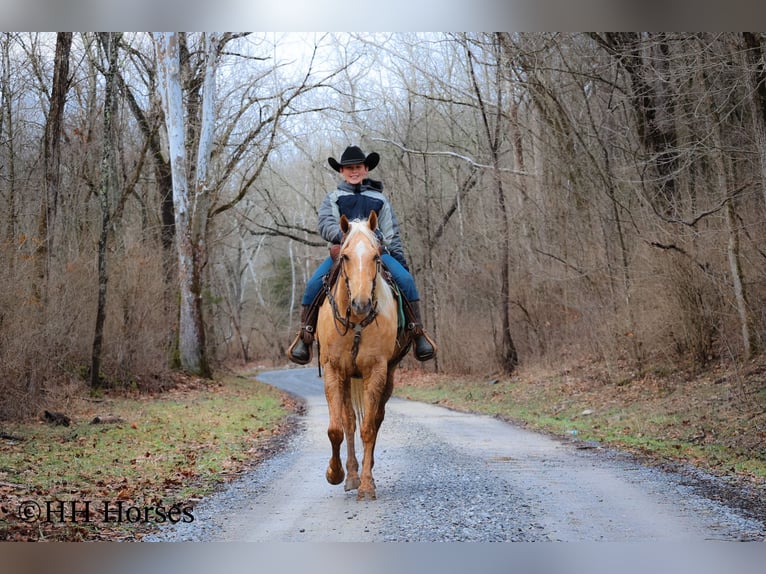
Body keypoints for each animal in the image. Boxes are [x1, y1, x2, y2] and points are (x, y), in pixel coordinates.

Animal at [315, 211, 411, 500]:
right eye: (345, 256)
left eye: (376, 257)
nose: (361, 304)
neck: (357, 321)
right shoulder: (334, 370)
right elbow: (336, 429)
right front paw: (335, 474)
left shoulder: (376, 370)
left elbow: (369, 428)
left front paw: (367, 485)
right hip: (347, 377)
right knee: (348, 422)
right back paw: (351, 475)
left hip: (387, 375)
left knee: (375, 420)